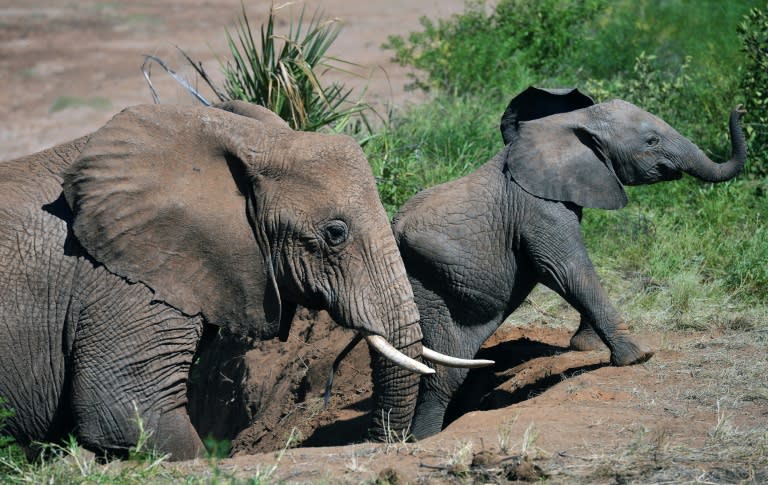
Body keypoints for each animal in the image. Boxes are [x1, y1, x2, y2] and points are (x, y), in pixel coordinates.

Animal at [392, 87, 748, 438]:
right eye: (651, 141)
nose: (741, 108)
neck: (572, 124)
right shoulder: (538, 207)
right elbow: (566, 270)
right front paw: (638, 356)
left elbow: (575, 271)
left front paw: (585, 346)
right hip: (433, 290)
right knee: (442, 374)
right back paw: (421, 439)